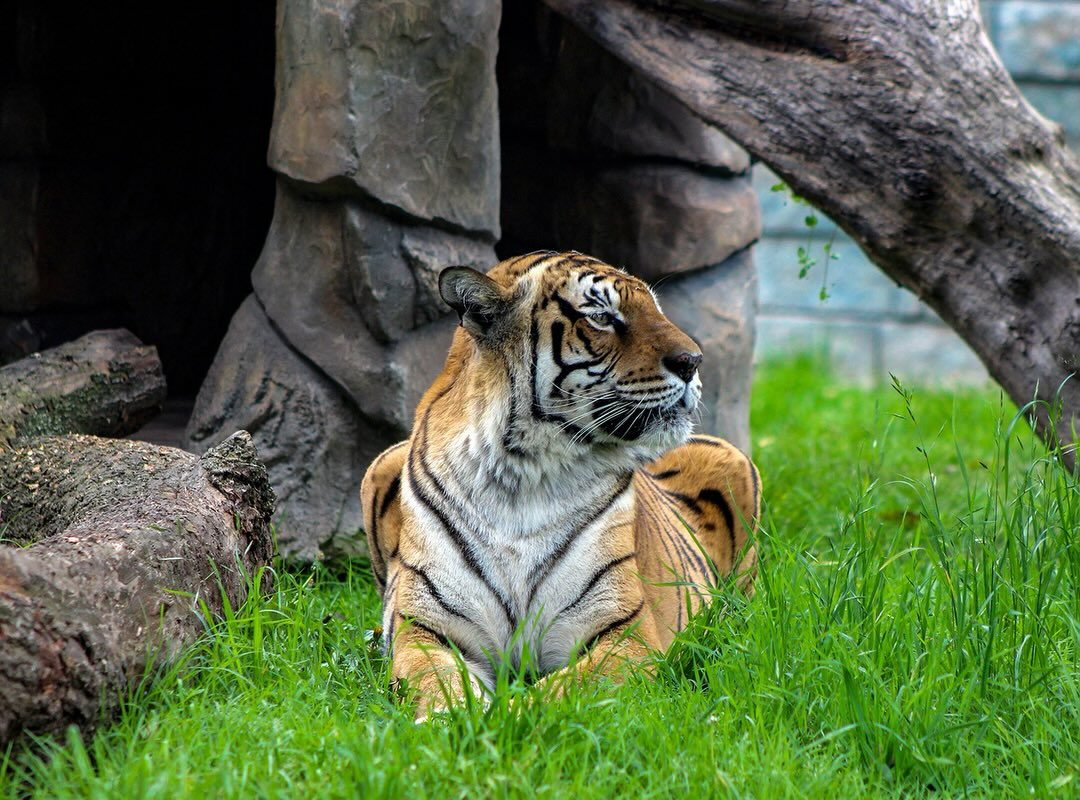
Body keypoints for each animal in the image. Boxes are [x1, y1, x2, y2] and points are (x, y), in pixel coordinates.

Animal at [361, 251, 760, 719]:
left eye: (656, 309)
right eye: (602, 317)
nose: (693, 360)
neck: (522, 474)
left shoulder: (625, 636)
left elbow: (557, 694)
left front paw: (503, 720)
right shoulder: (426, 631)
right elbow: (436, 681)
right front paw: (452, 721)